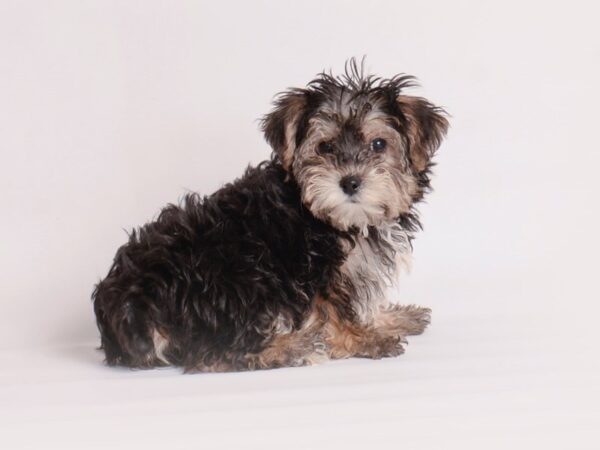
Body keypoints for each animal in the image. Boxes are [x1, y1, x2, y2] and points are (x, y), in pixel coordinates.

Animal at [92, 60, 450, 372]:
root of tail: (125, 306)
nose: (350, 182)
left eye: (378, 144)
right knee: (215, 353)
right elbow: (335, 309)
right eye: (325, 147)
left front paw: (390, 318)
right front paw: (363, 338)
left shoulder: (354, 266)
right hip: (238, 274)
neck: (333, 219)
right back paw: (295, 346)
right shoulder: (317, 269)